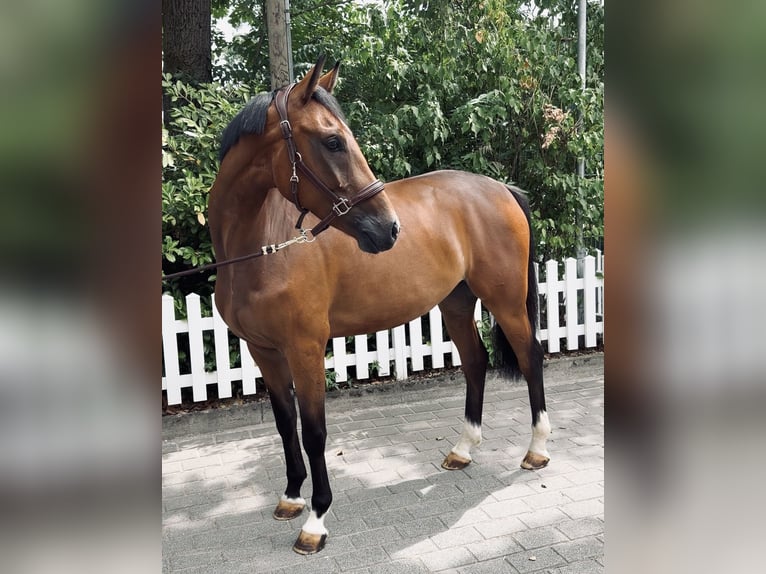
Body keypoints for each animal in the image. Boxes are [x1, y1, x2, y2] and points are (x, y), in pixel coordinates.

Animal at [208, 55, 550, 555]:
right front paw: (291, 496)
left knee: (530, 359)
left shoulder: (305, 349)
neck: (264, 247)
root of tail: (502, 188)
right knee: (475, 361)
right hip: (455, 303)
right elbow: (285, 423)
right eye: (332, 140)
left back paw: (537, 450)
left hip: (504, 301)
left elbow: (314, 432)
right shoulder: (264, 351)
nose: (389, 229)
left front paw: (315, 521)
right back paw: (463, 450)